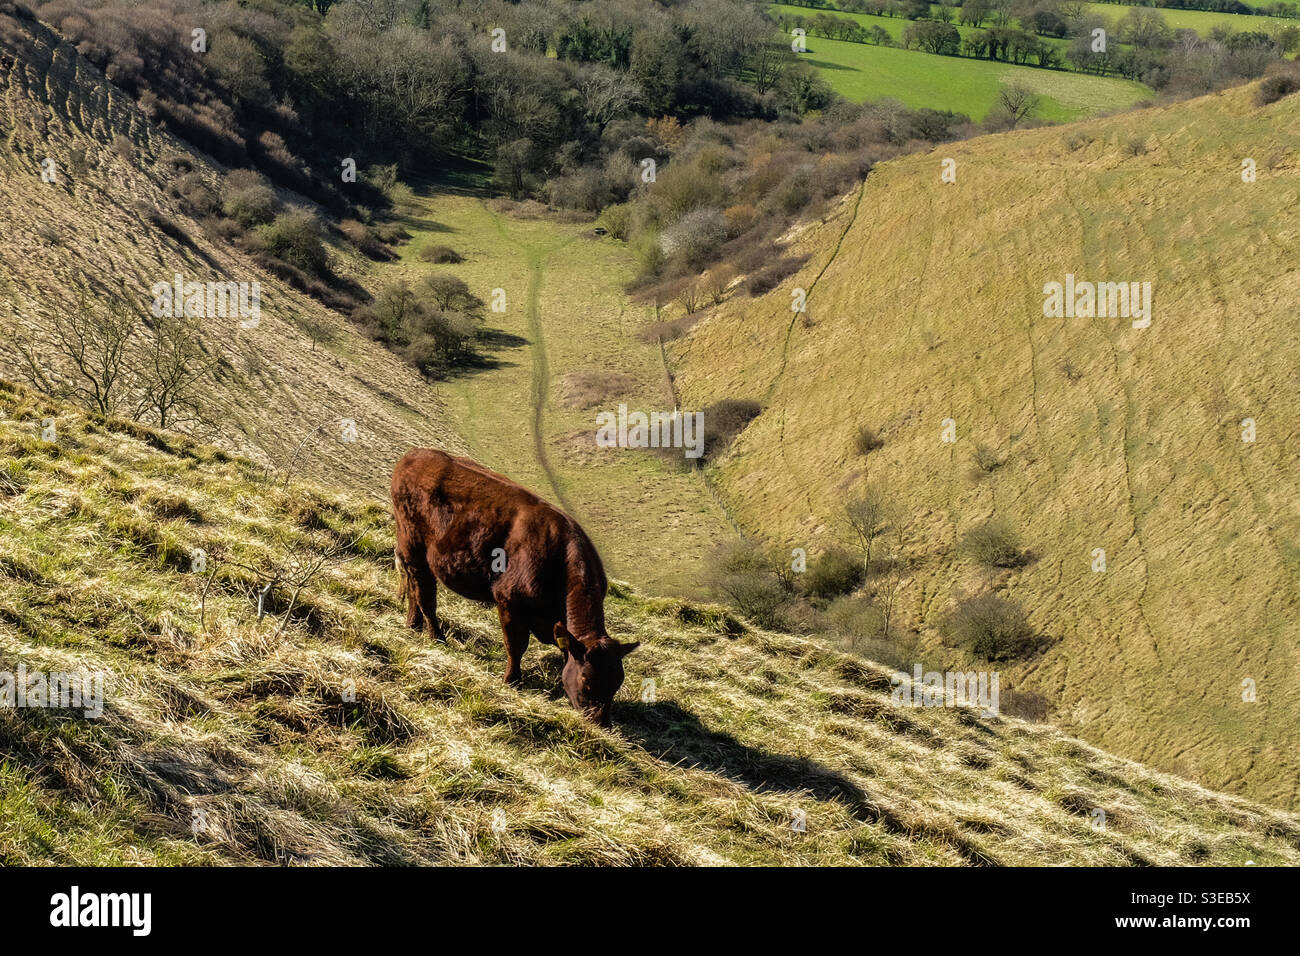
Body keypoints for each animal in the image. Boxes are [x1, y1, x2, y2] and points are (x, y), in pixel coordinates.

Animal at [392, 447, 642, 723]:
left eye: (617, 684)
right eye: (586, 682)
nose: (600, 724)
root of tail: (416, 454)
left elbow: (563, 653)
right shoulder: (509, 602)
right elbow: (516, 646)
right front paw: (512, 682)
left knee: (415, 588)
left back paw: (413, 625)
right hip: (412, 544)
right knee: (425, 595)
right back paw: (436, 637)